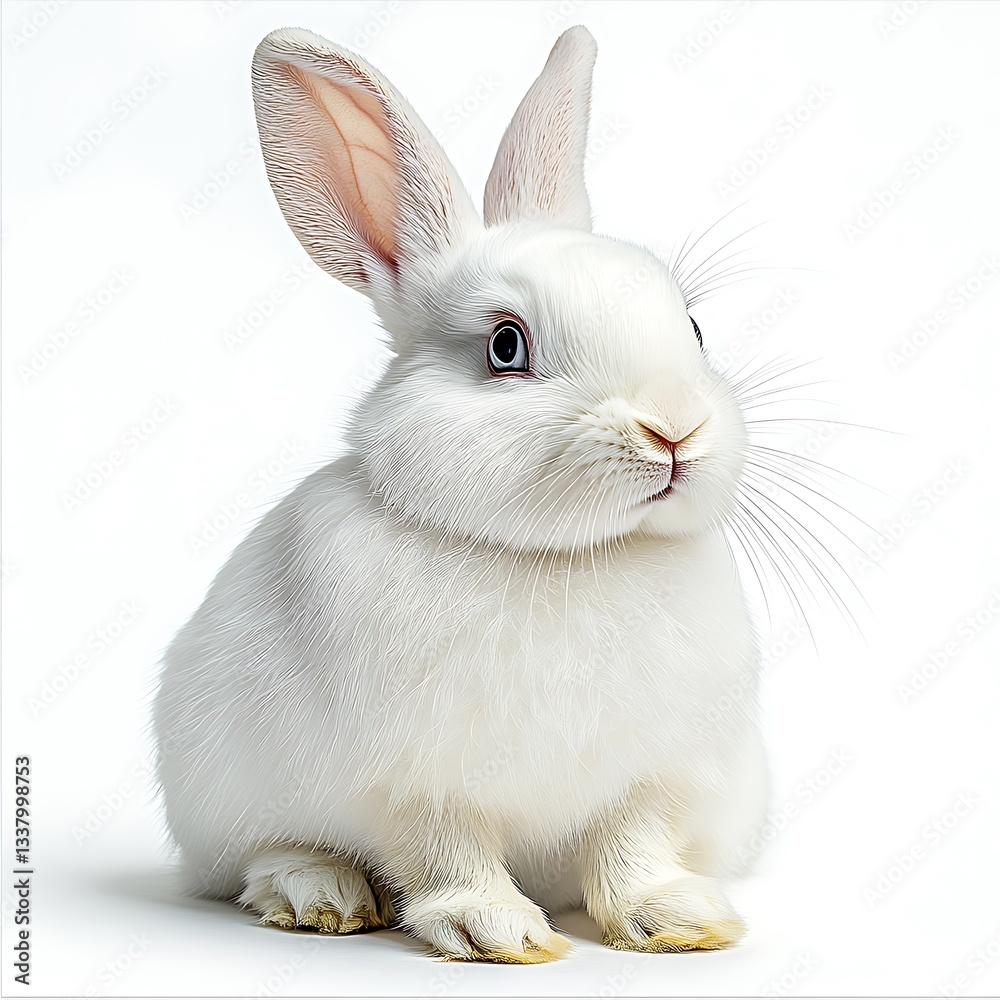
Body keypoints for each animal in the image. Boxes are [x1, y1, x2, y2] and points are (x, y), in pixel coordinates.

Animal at [152, 24, 770, 963]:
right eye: (506, 347)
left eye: (694, 328)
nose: (674, 430)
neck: (566, 558)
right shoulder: (418, 780)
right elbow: (447, 850)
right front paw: (497, 931)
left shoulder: (652, 773)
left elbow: (633, 843)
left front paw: (679, 920)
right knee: (264, 853)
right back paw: (319, 893)